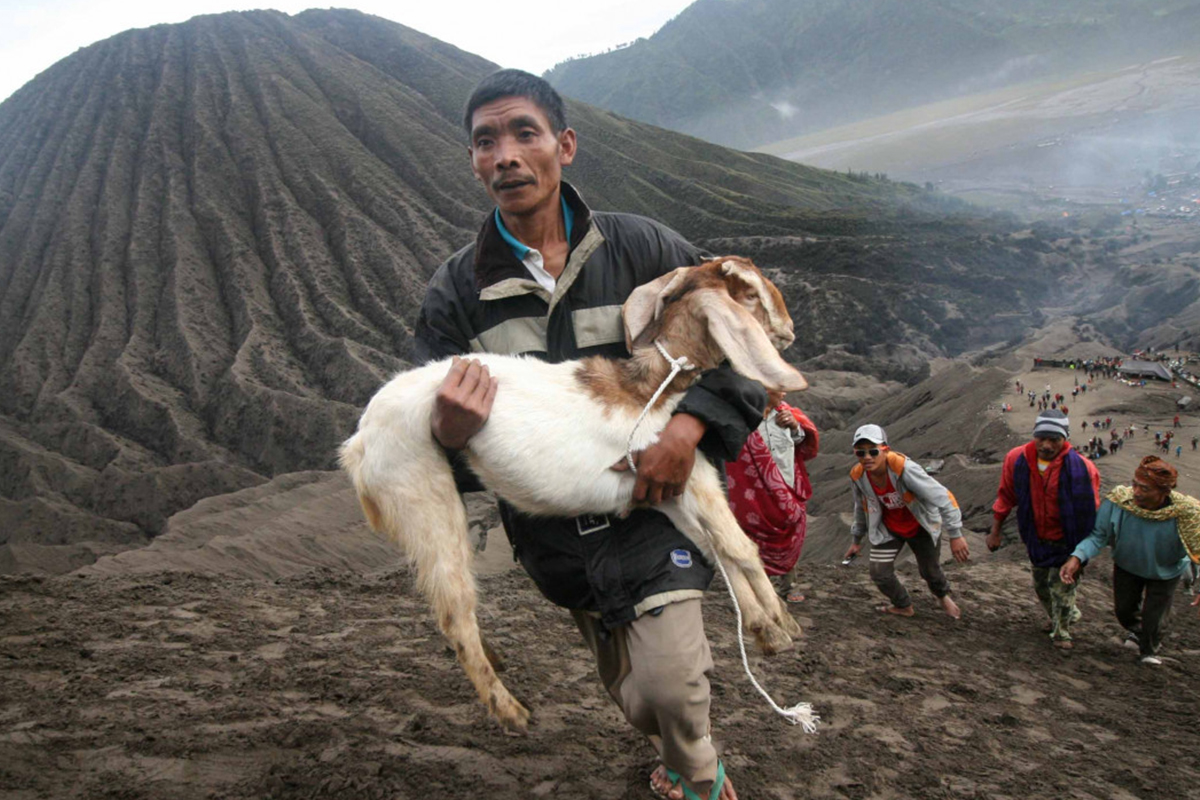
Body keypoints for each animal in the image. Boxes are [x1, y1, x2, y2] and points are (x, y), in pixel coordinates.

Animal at [338, 256, 806, 734]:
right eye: (748, 291)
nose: (789, 328)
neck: (656, 388)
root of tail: (358, 443)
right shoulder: (693, 479)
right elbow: (741, 547)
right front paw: (784, 626)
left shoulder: (667, 495)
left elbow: (716, 551)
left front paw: (764, 629)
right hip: (424, 497)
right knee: (454, 610)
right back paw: (510, 710)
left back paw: (498, 663)